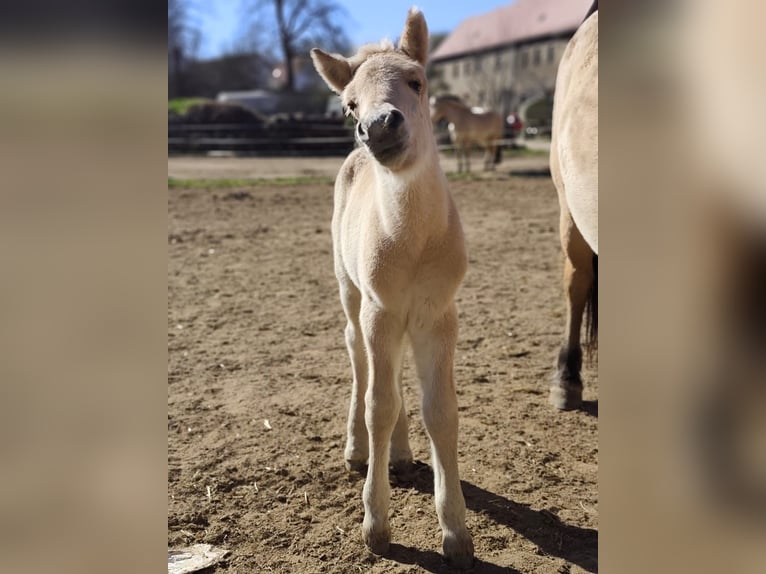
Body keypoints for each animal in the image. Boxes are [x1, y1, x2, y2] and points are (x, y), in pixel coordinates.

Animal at [310, 8, 474, 568]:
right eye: (349, 104)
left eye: (417, 82)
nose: (378, 127)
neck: (413, 243)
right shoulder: (380, 310)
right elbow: (378, 405)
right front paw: (376, 525)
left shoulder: (439, 314)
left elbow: (440, 412)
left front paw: (457, 535)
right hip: (353, 296)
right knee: (359, 360)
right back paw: (358, 450)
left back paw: (401, 456)